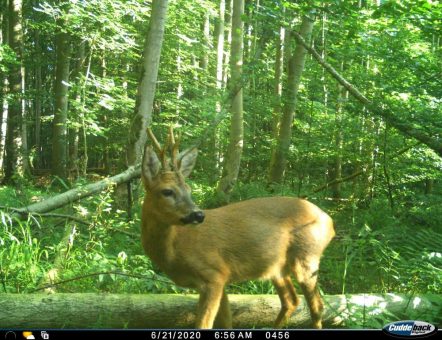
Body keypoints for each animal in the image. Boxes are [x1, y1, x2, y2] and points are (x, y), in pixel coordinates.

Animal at [142, 127, 334, 330]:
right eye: (167, 191)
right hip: (277, 267)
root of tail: (329, 221)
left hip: (307, 257)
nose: (198, 215)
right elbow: (226, 321)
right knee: (291, 300)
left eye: (189, 189)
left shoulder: (214, 274)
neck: (175, 249)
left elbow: (204, 324)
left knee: (317, 305)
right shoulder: (221, 280)